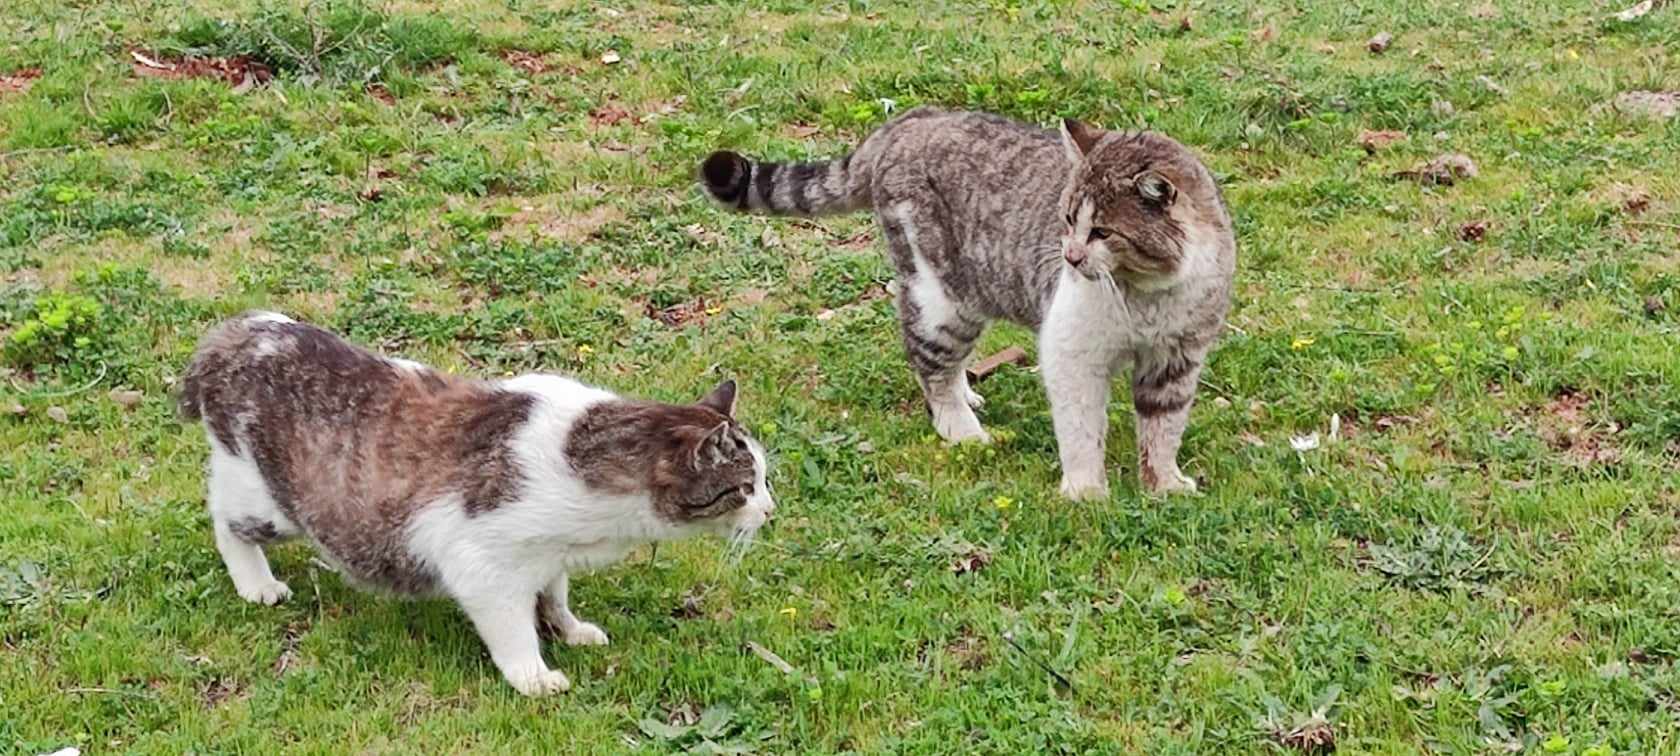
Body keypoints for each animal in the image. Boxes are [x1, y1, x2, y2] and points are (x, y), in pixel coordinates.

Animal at [177, 310, 772, 695]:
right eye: (746, 486)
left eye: (765, 480)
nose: (770, 510)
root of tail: (235, 333)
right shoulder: (483, 565)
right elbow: (514, 633)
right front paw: (535, 678)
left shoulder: (548, 555)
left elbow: (554, 597)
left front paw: (571, 630)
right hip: (270, 501)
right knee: (222, 517)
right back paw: (257, 585)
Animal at [695, 105, 1236, 497]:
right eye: (1066, 219)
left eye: (1102, 231)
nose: (1070, 256)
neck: (1149, 294)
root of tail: (906, 121)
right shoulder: (1072, 353)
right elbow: (1082, 429)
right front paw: (1086, 491)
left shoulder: (1177, 360)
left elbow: (1163, 429)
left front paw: (1163, 484)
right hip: (942, 300)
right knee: (929, 366)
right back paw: (961, 427)